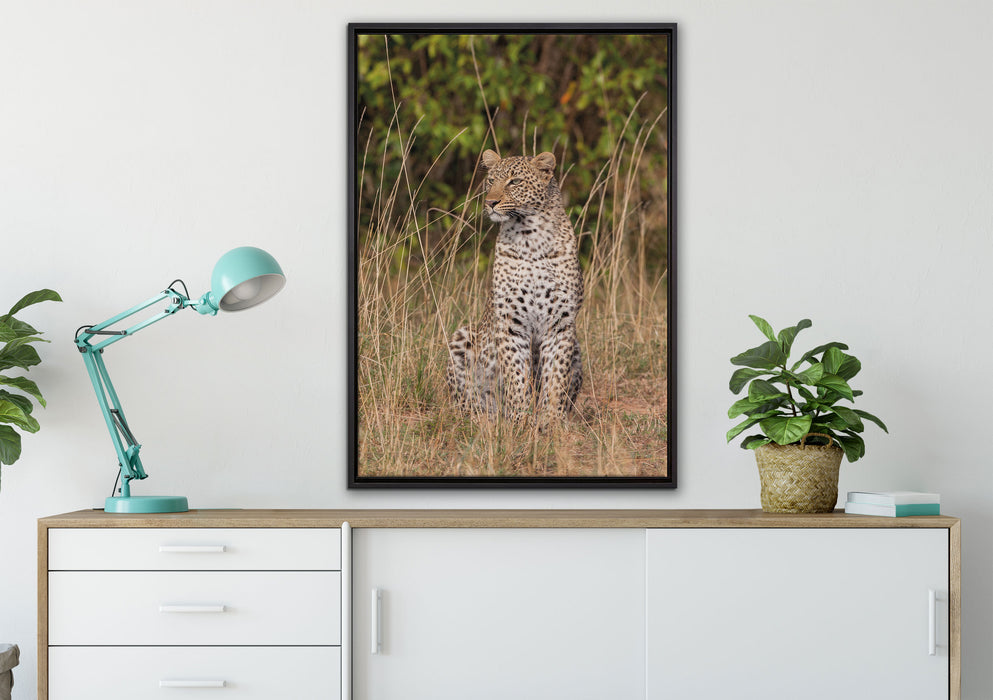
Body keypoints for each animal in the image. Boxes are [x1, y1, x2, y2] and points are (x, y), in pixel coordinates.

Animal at [446, 149, 584, 424]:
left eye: (515, 182)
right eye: (491, 181)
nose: (490, 202)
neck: (531, 238)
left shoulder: (561, 324)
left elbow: (555, 377)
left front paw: (551, 422)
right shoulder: (511, 323)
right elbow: (516, 376)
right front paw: (520, 420)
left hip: (577, 349)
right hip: (462, 337)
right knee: (465, 400)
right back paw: (482, 418)